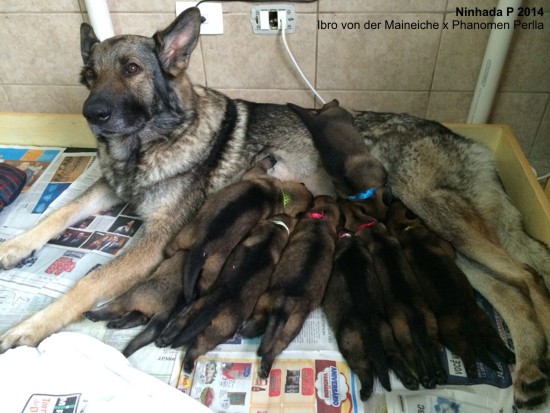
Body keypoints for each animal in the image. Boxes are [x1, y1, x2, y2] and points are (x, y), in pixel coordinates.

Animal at [156, 214, 297, 373]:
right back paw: (187, 363)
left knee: (182, 325)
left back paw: (166, 340)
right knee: (197, 346)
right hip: (219, 331)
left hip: (200, 309)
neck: (277, 226)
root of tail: (217, 301)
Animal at [163, 155, 312, 303]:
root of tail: (201, 248)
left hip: (188, 238)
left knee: (172, 249)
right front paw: (270, 159)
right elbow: (261, 165)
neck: (282, 195)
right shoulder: (256, 175)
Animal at [239, 195, 340, 378]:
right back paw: (265, 368)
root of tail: (287, 300)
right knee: (274, 346)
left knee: (258, 324)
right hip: (291, 326)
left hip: (263, 302)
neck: (322, 217)